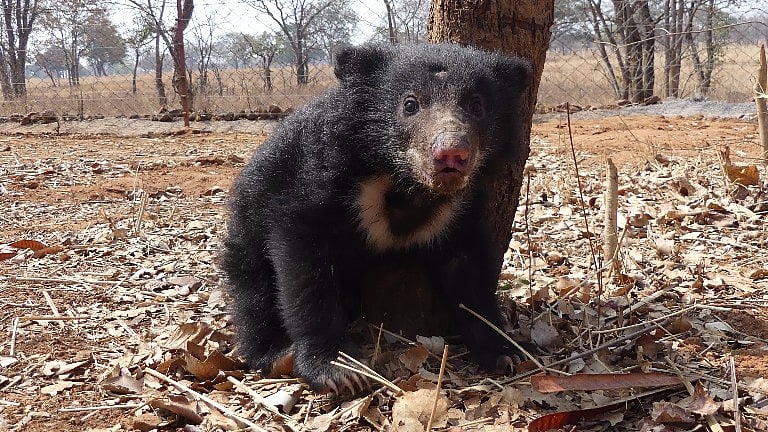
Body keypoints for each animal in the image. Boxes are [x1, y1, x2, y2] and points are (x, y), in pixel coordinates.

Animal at [220, 43, 532, 394]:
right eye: (410, 105)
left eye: (476, 105)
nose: (451, 153)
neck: (407, 183)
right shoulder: (317, 179)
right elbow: (305, 265)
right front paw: (338, 369)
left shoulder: (460, 209)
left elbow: (470, 273)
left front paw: (507, 352)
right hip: (249, 226)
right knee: (253, 291)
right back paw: (275, 354)